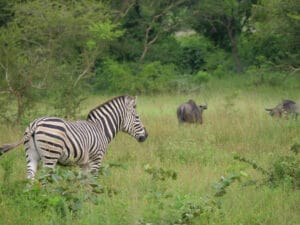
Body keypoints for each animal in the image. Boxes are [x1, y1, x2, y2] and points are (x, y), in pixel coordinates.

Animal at [0, 95, 148, 179]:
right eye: (137, 117)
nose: (146, 136)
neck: (101, 128)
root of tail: (35, 124)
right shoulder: (96, 159)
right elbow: (92, 184)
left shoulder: (84, 164)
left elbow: (84, 184)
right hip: (50, 155)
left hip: (31, 155)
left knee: (30, 178)